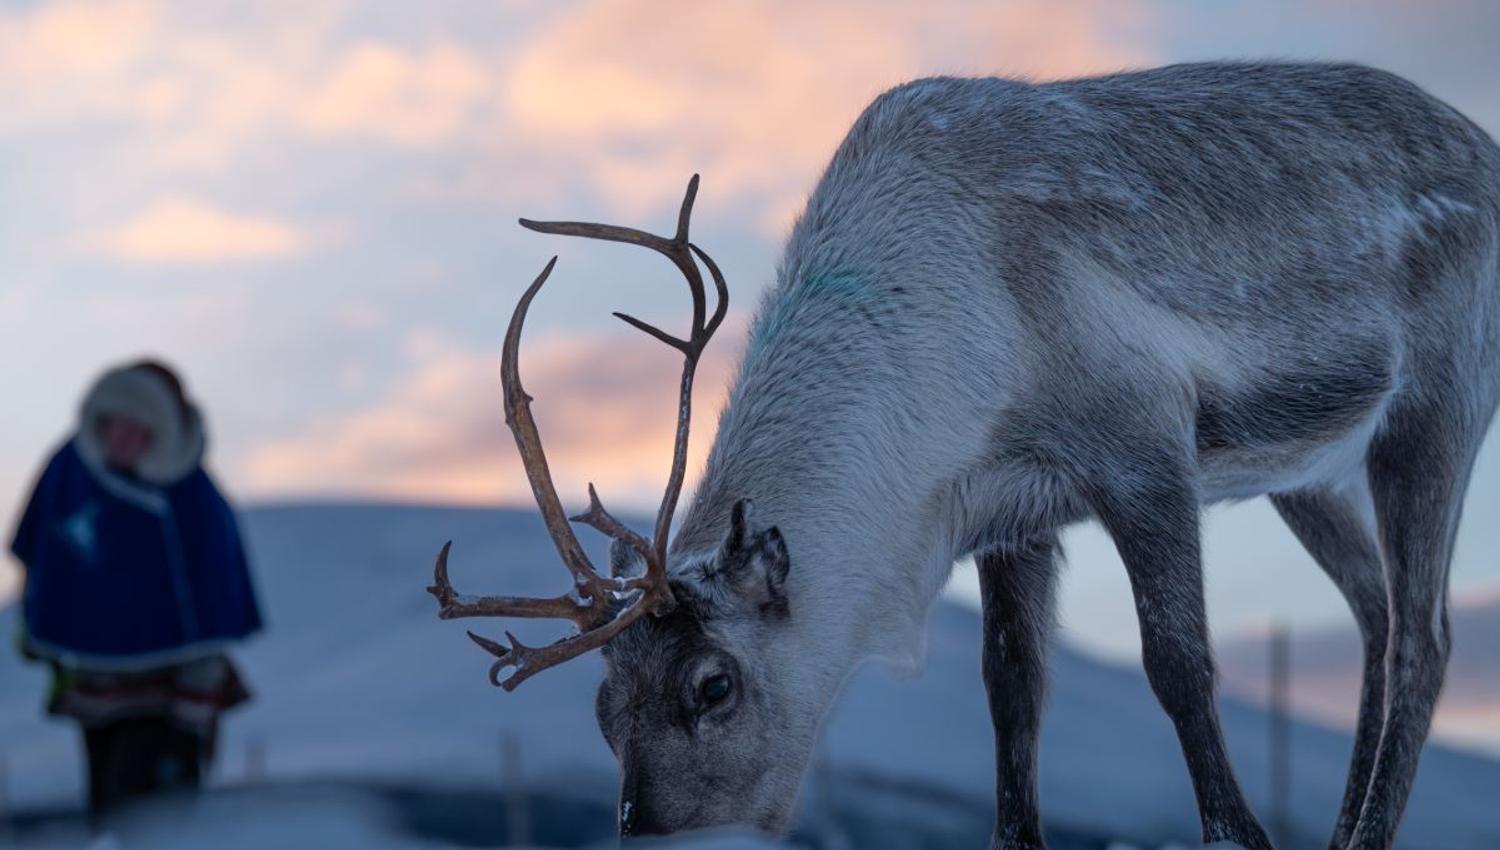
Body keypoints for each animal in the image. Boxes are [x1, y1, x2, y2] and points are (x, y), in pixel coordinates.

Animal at [427, 62, 1500, 850]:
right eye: (602, 708)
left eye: (713, 686)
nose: (651, 836)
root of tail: (1484, 142)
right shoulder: (1010, 514)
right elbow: (1011, 693)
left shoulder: (1145, 446)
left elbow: (1178, 662)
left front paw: (1238, 834)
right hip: (1304, 473)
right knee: (1375, 612)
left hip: (1437, 404)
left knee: (1425, 635)